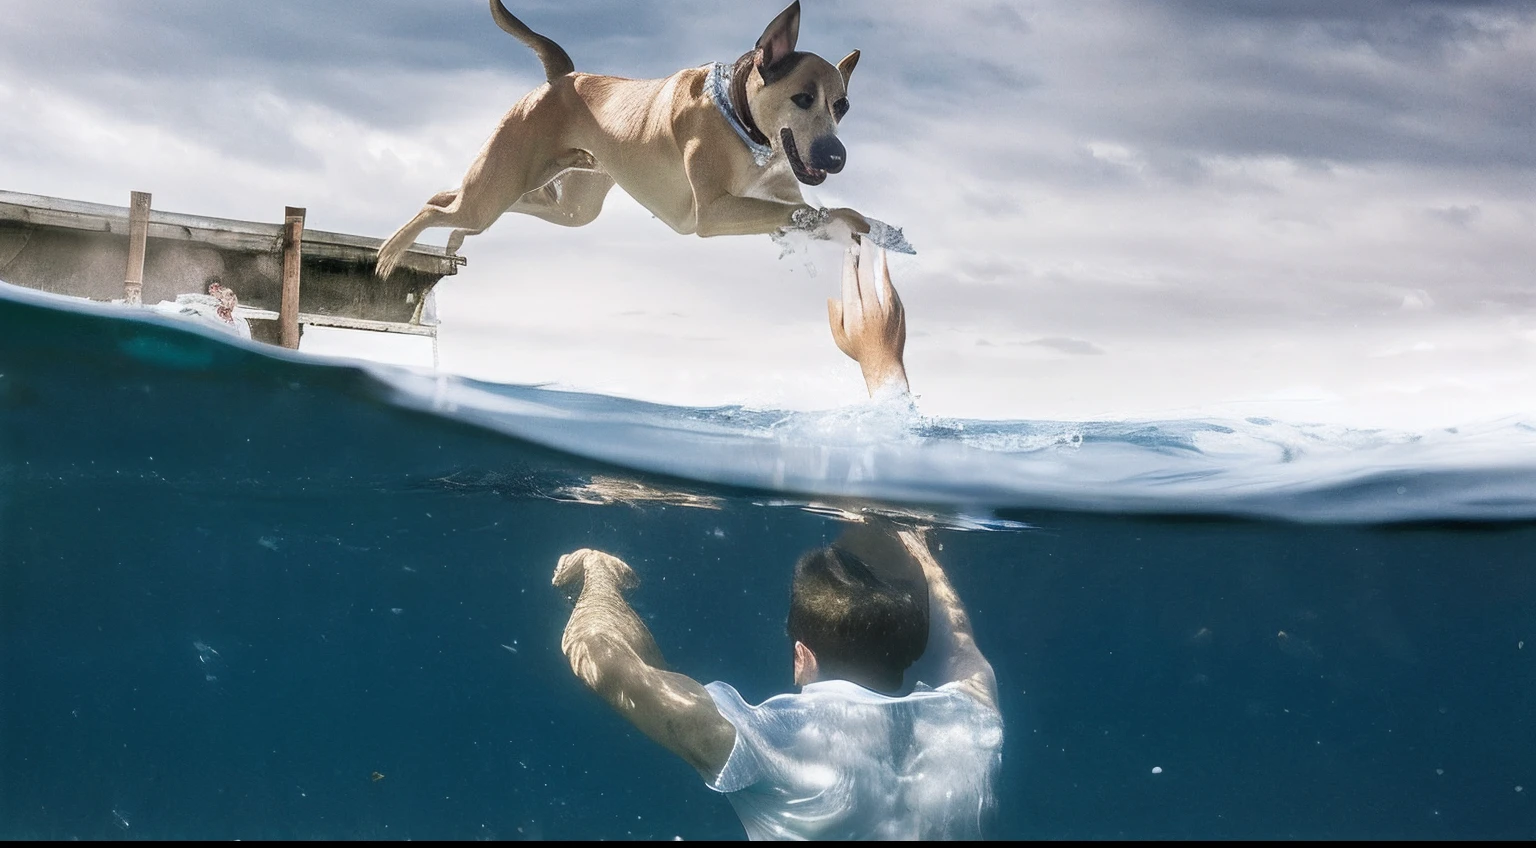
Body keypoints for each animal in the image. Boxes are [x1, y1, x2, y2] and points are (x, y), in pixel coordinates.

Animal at [373, 0, 872, 278]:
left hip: (566, 203)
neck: (742, 121)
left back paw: (454, 238)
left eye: (843, 106)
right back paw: (391, 251)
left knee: (461, 201)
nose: (837, 157)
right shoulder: (713, 211)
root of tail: (563, 77)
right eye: (802, 98)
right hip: (502, 180)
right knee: (437, 205)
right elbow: (806, 211)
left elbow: (801, 211)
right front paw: (854, 218)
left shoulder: (773, 195)